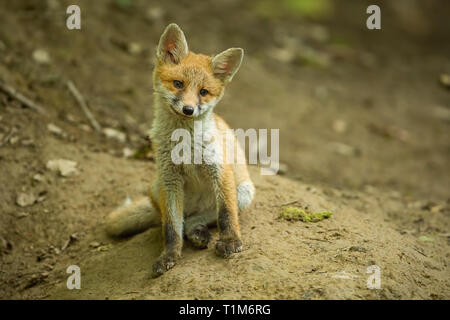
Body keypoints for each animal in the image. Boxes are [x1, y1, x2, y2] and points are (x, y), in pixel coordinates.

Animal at [103, 23, 255, 276]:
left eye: (203, 92)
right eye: (178, 84)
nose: (188, 109)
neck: (185, 145)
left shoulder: (219, 170)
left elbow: (226, 215)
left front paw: (231, 241)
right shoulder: (170, 179)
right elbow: (171, 229)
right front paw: (169, 256)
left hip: (243, 191)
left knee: (205, 217)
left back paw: (198, 230)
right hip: (158, 188)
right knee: (180, 222)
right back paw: (195, 232)